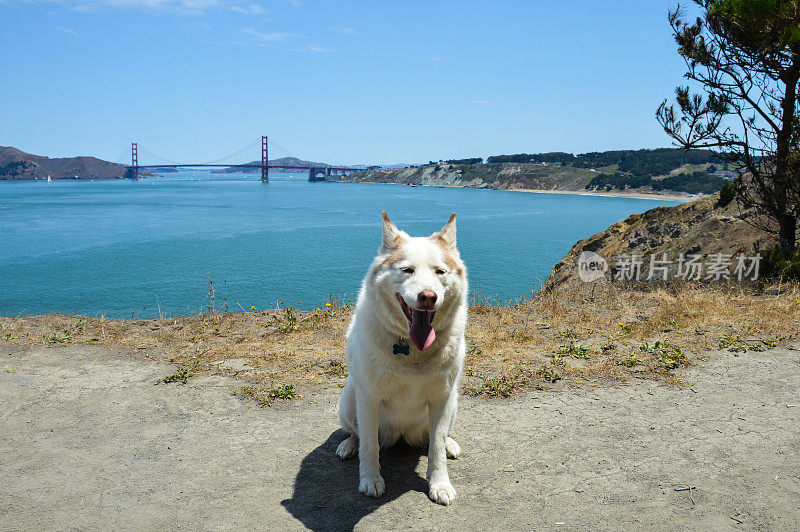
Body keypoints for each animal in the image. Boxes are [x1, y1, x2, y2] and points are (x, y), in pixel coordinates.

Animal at [334, 210, 466, 504]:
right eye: (407, 270)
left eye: (440, 271)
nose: (428, 297)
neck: (411, 347)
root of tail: (402, 435)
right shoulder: (369, 397)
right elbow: (369, 445)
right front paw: (370, 480)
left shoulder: (441, 397)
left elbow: (436, 447)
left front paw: (439, 484)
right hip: (349, 398)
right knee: (357, 434)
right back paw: (348, 445)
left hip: (453, 401)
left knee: (440, 437)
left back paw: (451, 443)